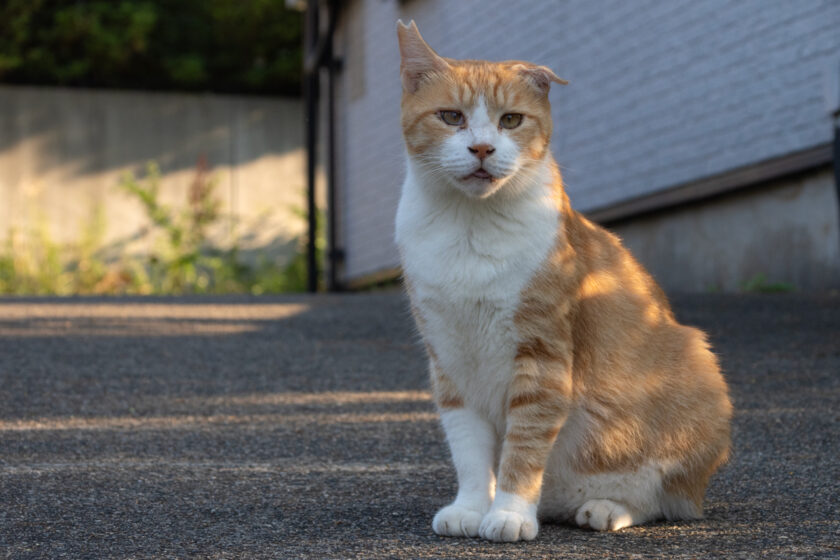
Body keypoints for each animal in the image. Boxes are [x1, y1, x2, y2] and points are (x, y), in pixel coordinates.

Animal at [394, 21, 728, 544]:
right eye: (451, 117)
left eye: (511, 121)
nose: (482, 148)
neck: (470, 228)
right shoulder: (450, 359)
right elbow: (468, 448)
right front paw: (472, 508)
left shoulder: (542, 355)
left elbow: (524, 446)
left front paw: (508, 514)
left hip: (697, 369)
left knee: (664, 499)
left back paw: (606, 508)